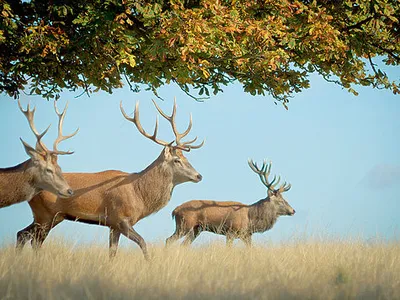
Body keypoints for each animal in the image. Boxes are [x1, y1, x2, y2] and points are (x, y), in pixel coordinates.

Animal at [15, 99, 203, 260]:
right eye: (177, 160)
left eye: (186, 158)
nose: (199, 175)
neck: (139, 194)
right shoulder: (120, 218)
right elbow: (142, 243)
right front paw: (150, 263)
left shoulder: (113, 225)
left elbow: (112, 252)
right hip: (46, 214)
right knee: (34, 240)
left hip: (49, 216)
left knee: (21, 234)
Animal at [166, 159, 294, 246]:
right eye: (281, 201)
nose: (293, 210)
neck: (251, 218)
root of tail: (174, 211)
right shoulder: (230, 232)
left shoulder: (247, 235)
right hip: (184, 225)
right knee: (168, 240)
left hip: (196, 229)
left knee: (184, 245)